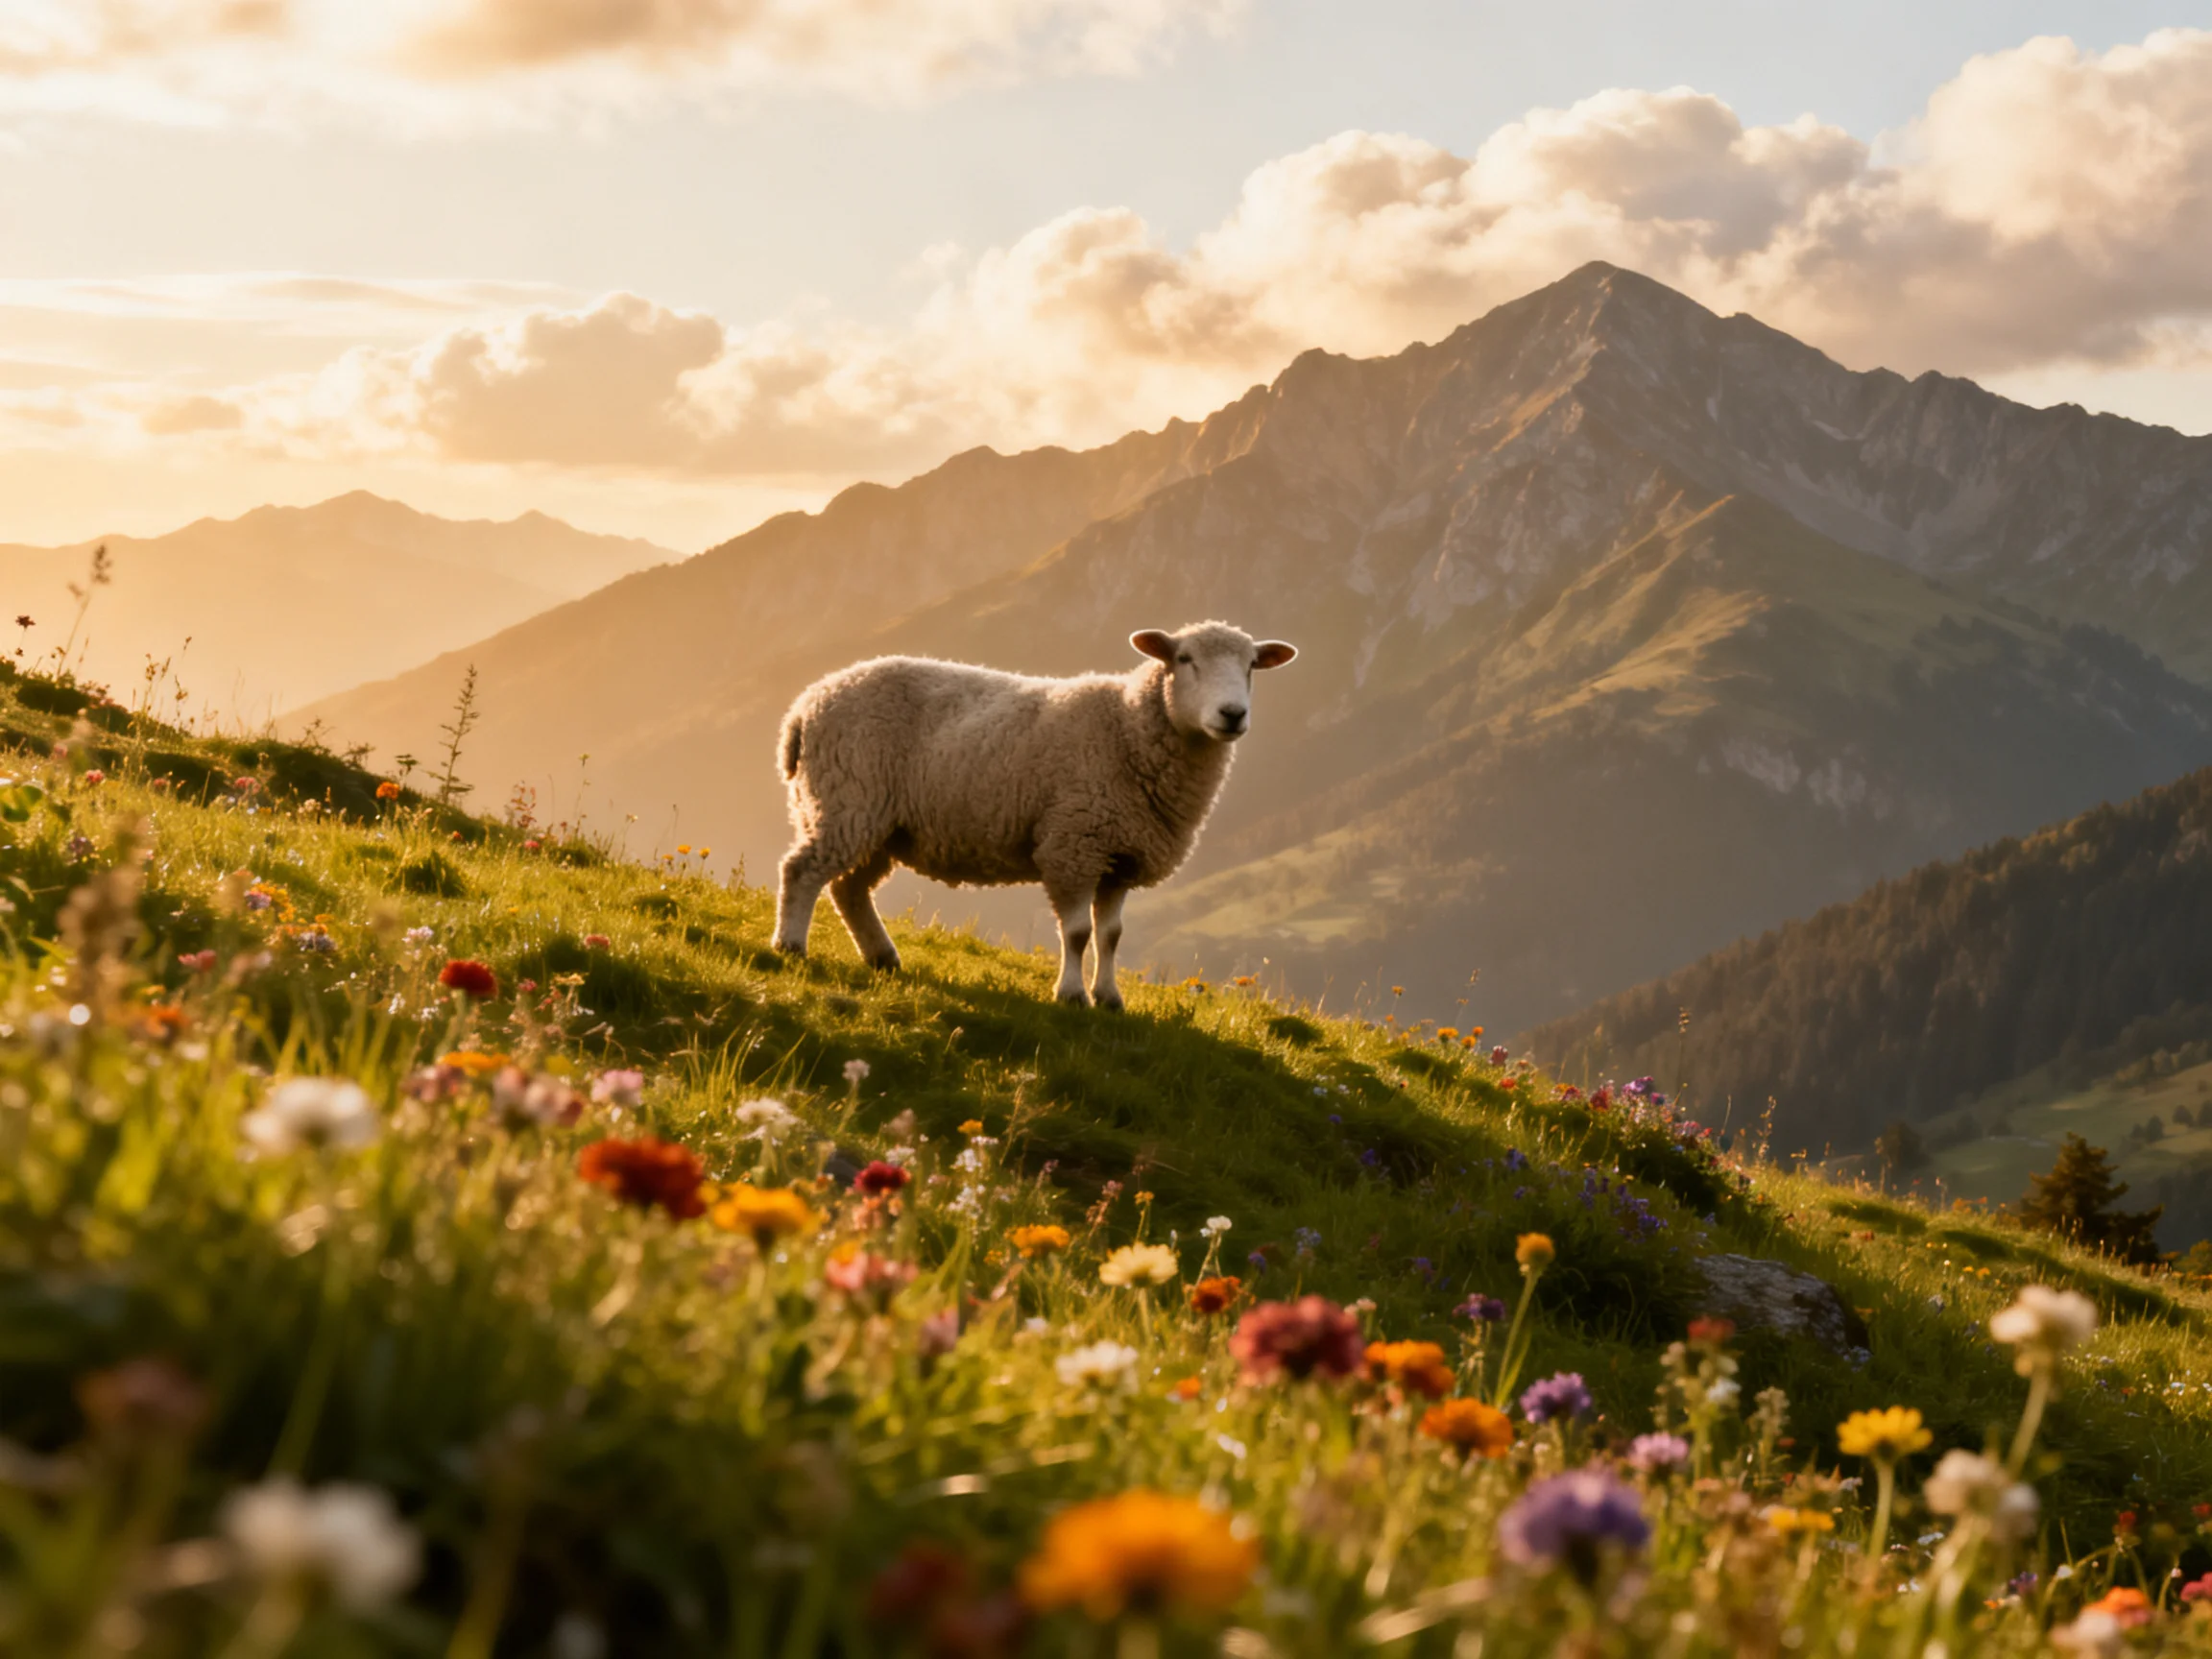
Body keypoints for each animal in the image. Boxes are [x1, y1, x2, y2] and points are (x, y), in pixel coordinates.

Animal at [771, 621, 1298, 1007]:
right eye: (1185, 659)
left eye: (1252, 665)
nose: (1232, 714)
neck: (1128, 726)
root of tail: (804, 705)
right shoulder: (1074, 844)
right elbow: (1079, 932)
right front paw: (1071, 996)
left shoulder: (1119, 856)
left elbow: (1111, 935)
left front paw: (1109, 998)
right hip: (846, 798)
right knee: (802, 871)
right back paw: (791, 946)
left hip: (876, 821)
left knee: (848, 888)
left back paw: (882, 957)